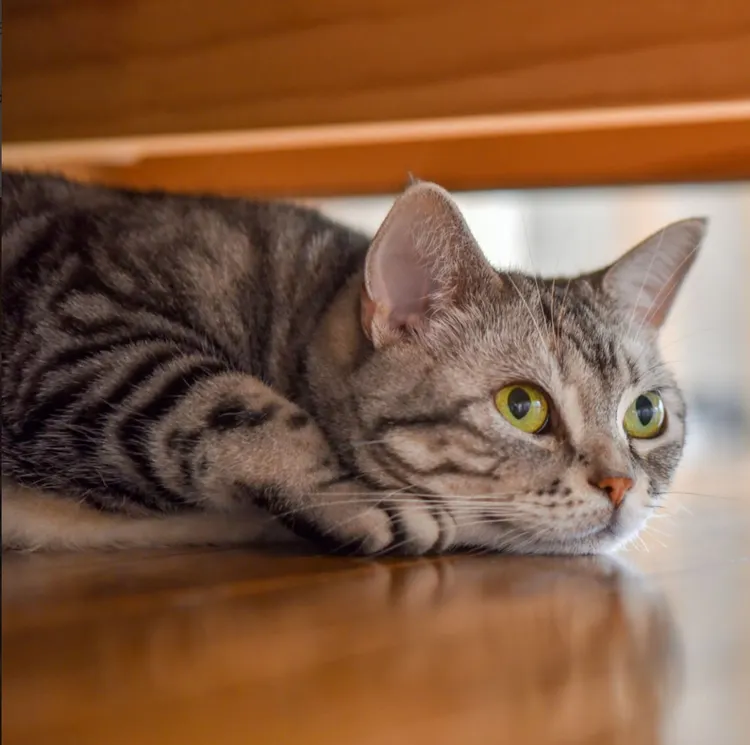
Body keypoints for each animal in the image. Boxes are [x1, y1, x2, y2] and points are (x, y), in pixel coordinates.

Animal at [0, 173, 708, 552]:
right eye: (522, 406)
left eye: (645, 415)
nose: (620, 485)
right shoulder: (77, 333)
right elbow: (230, 401)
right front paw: (360, 497)